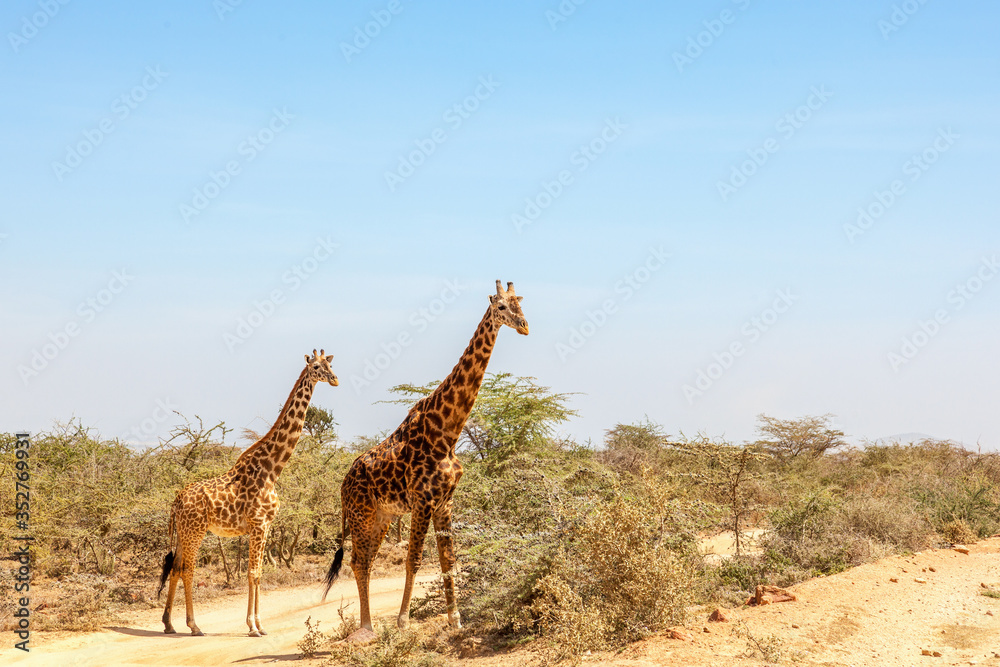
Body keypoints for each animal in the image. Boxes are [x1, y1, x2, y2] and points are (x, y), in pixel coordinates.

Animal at [158, 349, 338, 637]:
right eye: (317, 368)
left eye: (331, 365)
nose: (335, 380)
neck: (272, 470)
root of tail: (176, 502)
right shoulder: (258, 524)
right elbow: (253, 573)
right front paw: (253, 626)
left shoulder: (265, 526)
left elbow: (259, 573)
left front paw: (259, 625)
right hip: (195, 531)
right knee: (187, 570)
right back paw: (194, 625)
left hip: (183, 533)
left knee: (175, 568)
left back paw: (168, 623)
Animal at [322, 280, 529, 643]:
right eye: (501, 307)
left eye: (521, 303)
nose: (525, 326)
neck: (447, 431)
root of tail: (343, 485)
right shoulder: (423, 500)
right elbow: (415, 560)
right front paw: (403, 623)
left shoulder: (445, 501)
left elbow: (448, 561)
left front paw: (456, 621)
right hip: (362, 515)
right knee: (358, 562)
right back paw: (367, 627)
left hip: (381, 517)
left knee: (365, 561)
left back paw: (368, 625)